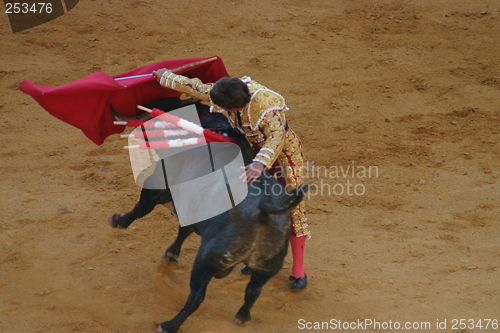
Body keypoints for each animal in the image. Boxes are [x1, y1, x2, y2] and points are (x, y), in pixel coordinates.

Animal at [110, 98, 312, 332]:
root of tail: (265, 207)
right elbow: (183, 229)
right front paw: (170, 256)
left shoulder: (158, 184)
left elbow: (141, 208)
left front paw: (119, 220)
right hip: (267, 266)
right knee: (253, 290)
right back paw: (242, 316)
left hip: (205, 260)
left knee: (197, 295)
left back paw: (169, 325)